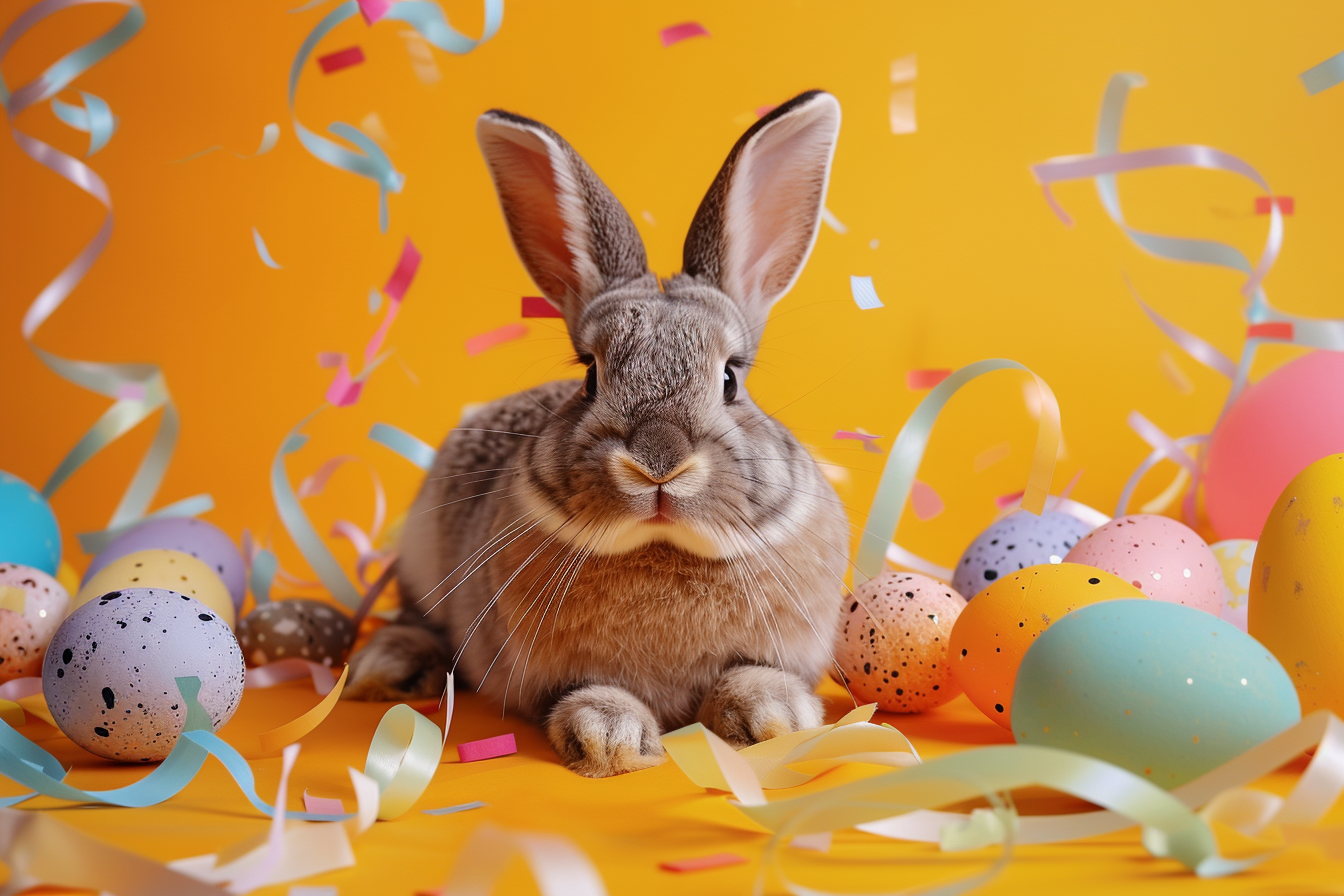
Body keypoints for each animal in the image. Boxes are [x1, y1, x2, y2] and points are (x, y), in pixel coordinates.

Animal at [345, 90, 852, 777]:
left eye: (730, 379)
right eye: (590, 375)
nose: (658, 461)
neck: (661, 548)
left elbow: (756, 675)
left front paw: (773, 720)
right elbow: (590, 691)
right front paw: (611, 741)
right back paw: (388, 668)